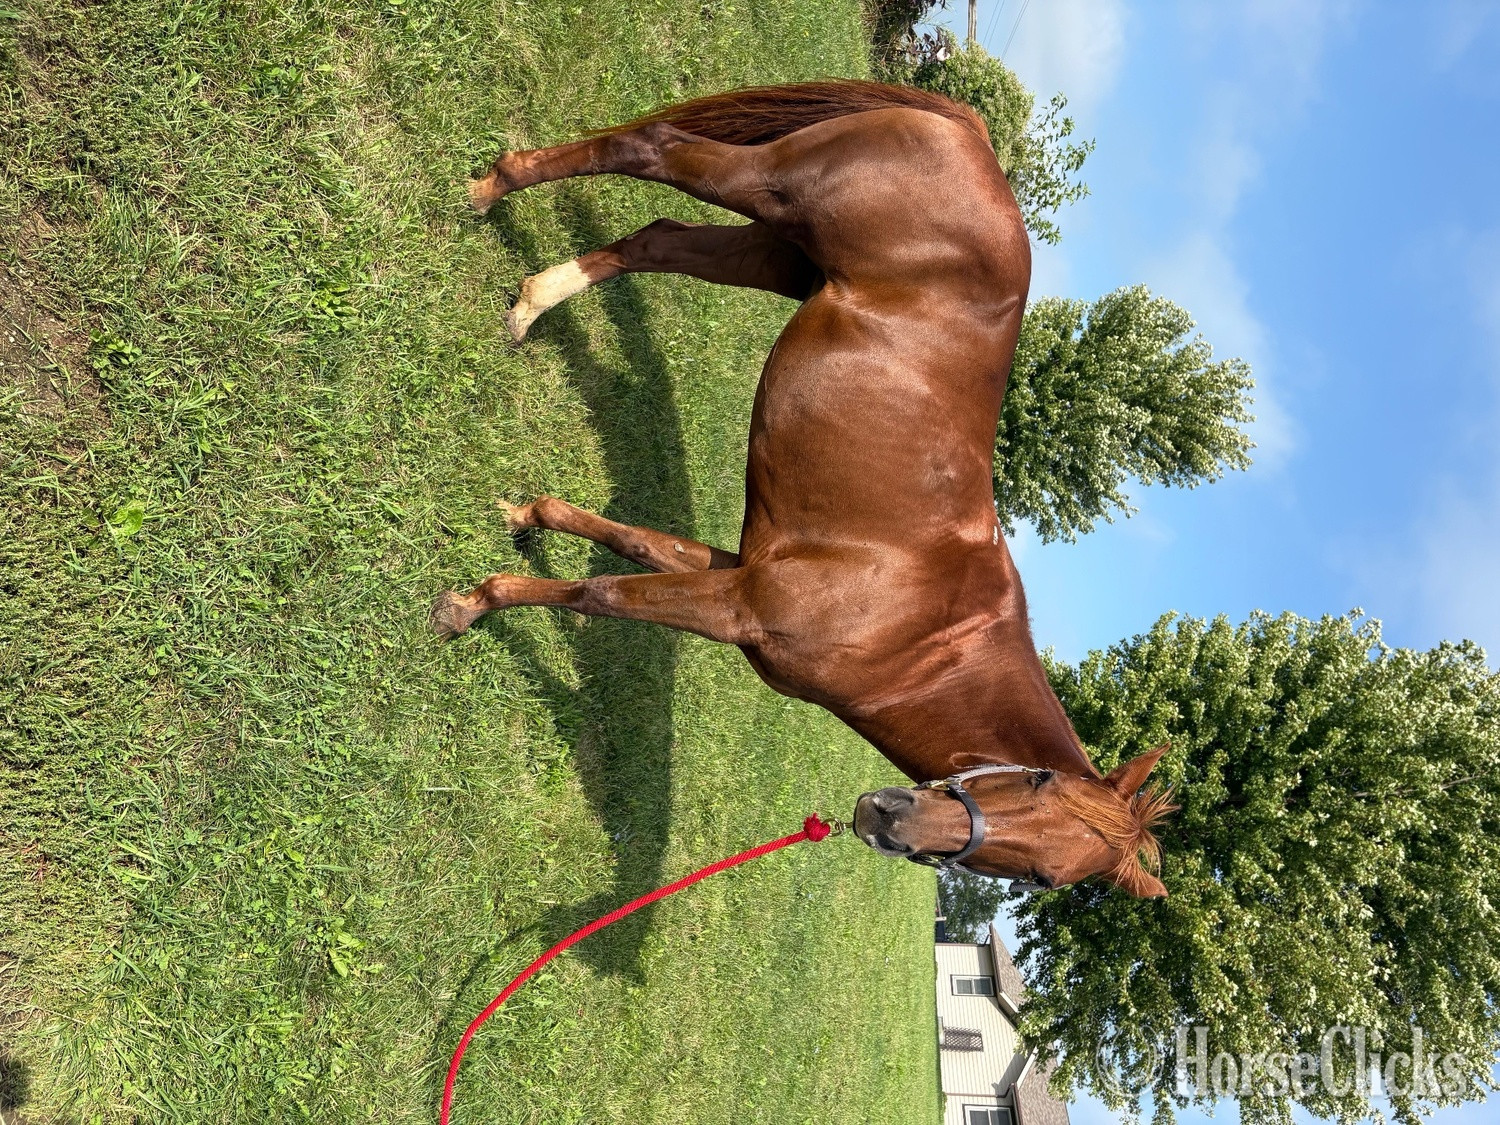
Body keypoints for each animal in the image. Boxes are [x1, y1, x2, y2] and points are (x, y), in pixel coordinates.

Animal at [432, 81, 1174, 898]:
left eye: (1043, 878)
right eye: (1037, 782)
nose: (887, 818)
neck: (920, 635)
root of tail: (975, 137)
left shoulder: (736, 571)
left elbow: (628, 542)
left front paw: (529, 517)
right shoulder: (738, 605)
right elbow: (601, 594)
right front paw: (467, 606)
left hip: (774, 254)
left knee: (656, 240)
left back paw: (530, 301)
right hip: (772, 191)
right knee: (648, 149)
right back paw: (489, 190)